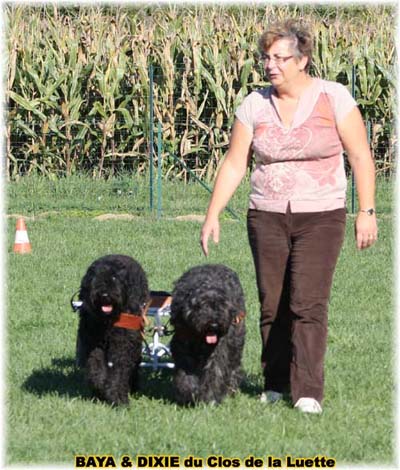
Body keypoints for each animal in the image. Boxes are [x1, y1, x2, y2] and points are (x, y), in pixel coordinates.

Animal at [75, 255, 150, 406]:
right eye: (95, 277)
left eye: (115, 277)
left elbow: (119, 372)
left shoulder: (123, 344)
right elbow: (95, 368)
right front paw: (100, 389)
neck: (108, 320)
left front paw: (118, 398)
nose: (104, 295)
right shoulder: (92, 343)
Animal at [168, 264, 244, 404]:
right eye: (203, 306)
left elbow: (215, 370)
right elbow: (186, 368)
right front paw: (188, 390)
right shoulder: (182, 346)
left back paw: (230, 388)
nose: (214, 325)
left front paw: (208, 397)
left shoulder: (220, 348)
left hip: (236, 341)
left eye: (223, 306)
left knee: (233, 365)